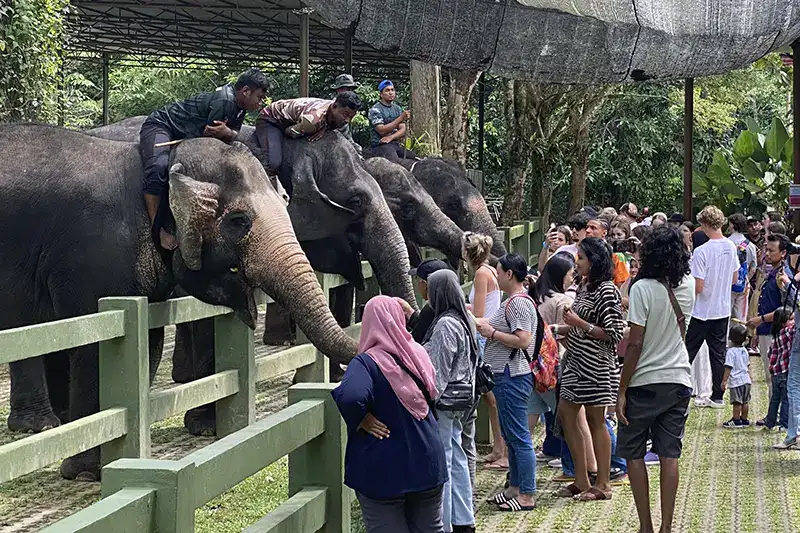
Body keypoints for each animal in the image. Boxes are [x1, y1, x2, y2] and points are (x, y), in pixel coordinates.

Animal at [0, 123, 358, 480]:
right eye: (238, 220)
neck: (159, 166)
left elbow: (150, 342)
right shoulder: (91, 257)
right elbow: (94, 345)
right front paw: (87, 473)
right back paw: (41, 426)